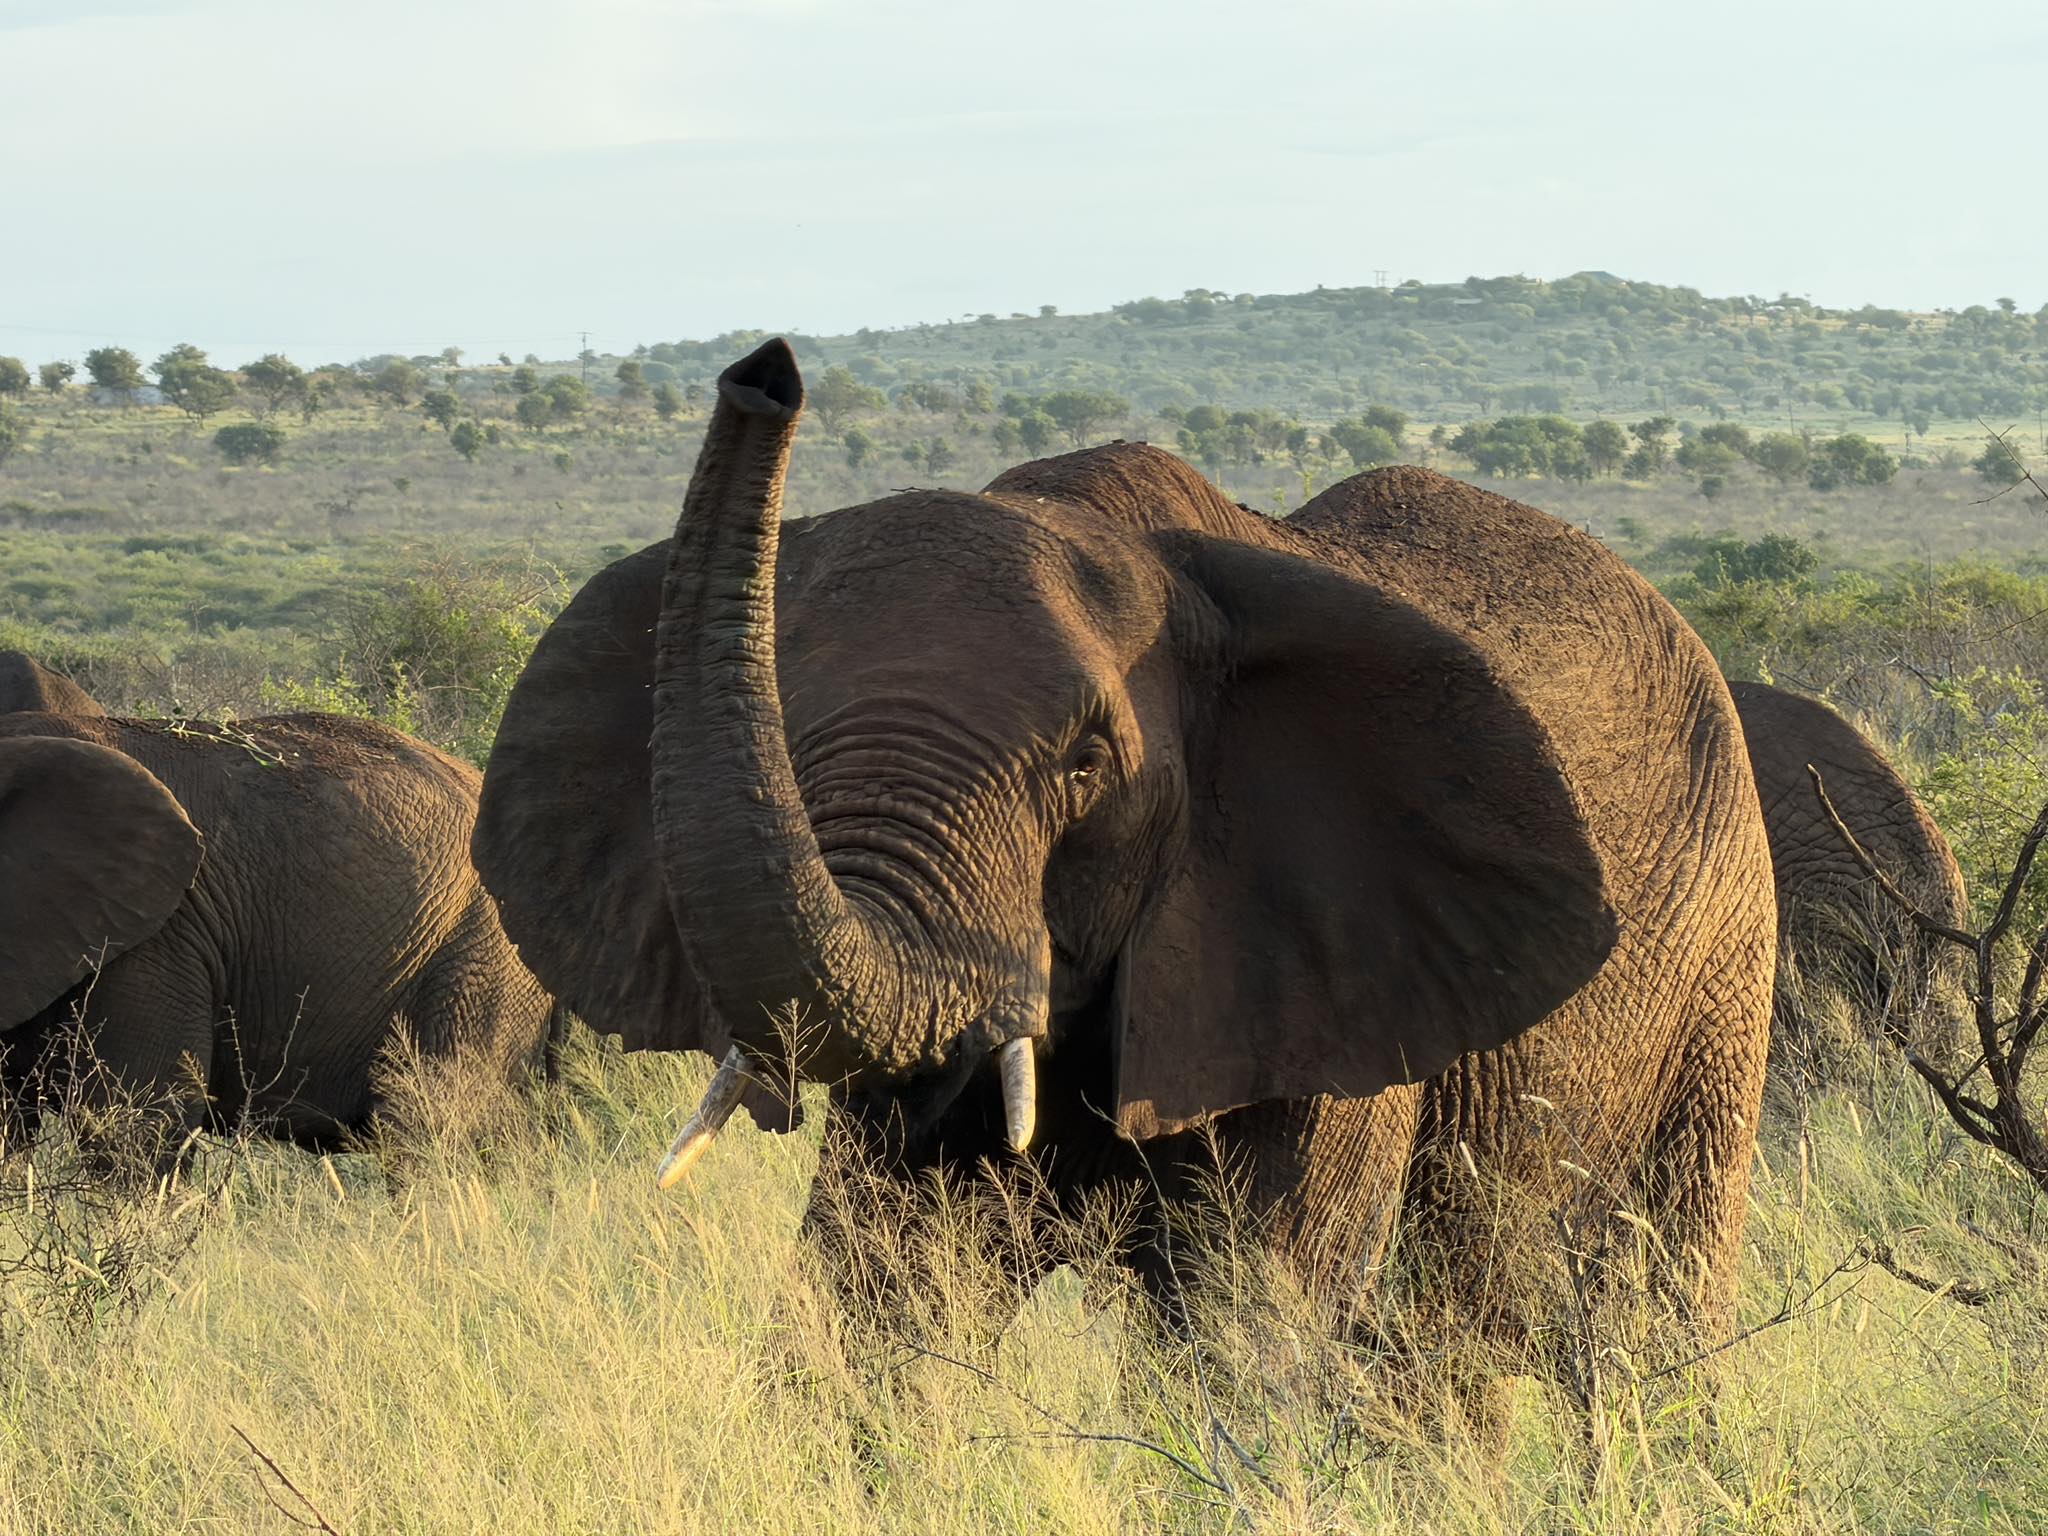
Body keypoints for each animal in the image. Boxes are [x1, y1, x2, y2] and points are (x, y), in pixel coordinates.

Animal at [474, 340, 1775, 1357]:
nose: (765, 373)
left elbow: (1248, 1328)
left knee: (1639, 1304)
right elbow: (870, 1294)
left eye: (1085, 765)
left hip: (1723, 954)